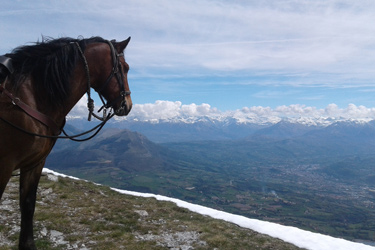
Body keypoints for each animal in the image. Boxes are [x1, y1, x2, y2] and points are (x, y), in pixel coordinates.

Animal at [0, 35, 134, 250]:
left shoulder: (35, 163)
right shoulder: (5, 164)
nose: (127, 105)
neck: (28, 97)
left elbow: (28, 204)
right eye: (125, 67)